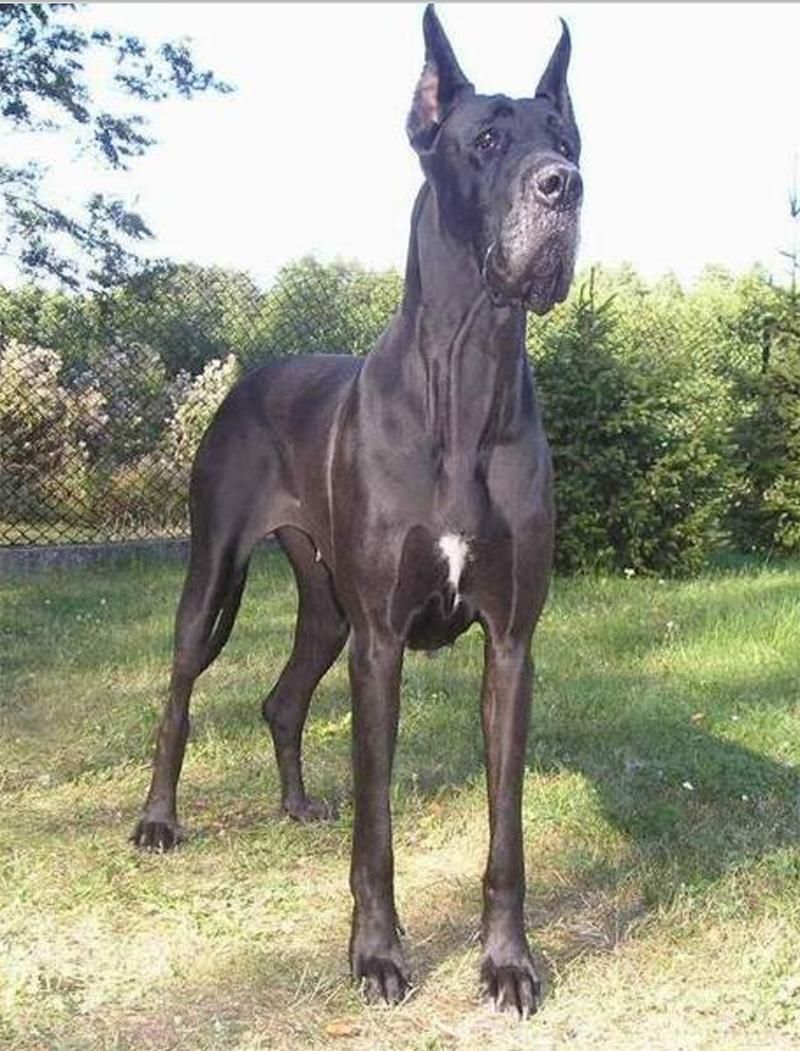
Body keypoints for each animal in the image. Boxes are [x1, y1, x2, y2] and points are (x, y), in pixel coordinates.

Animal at [133, 4, 582, 1018]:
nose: (563, 187)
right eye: (486, 141)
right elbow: (376, 829)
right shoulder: (381, 640)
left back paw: (296, 802)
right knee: (179, 693)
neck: (468, 376)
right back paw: (157, 820)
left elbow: (507, 833)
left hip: (326, 601)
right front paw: (377, 955)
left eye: (569, 139)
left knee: (281, 698)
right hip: (215, 573)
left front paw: (507, 963)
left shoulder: (511, 642)